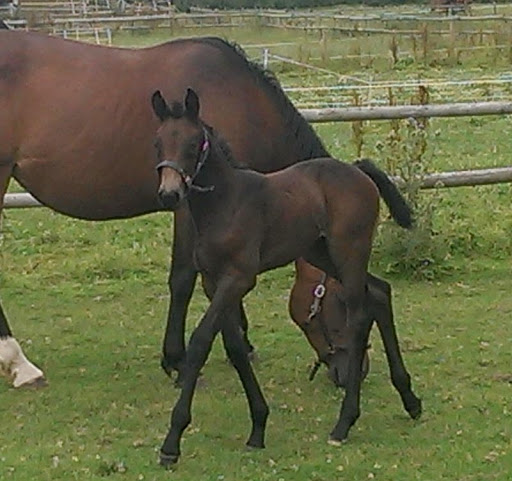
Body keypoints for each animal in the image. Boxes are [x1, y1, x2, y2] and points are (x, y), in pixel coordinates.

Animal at [150, 89, 422, 464]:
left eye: (194, 144)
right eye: (159, 142)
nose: (169, 193)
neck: (226, 204)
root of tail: (356, 170)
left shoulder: (238, 278)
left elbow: (202, 342)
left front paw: (172, 441)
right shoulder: (213, 282)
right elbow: (235, 347)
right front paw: (258, 426)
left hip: (349, 252)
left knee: (359, 316)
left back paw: (344, 422)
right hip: (321, 253)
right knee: (380, 292)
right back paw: (410, 399)